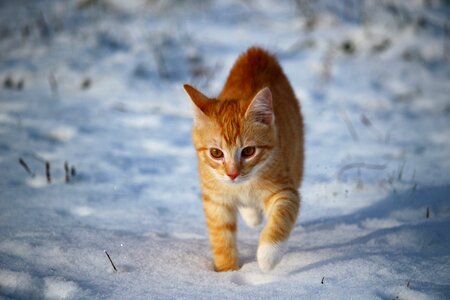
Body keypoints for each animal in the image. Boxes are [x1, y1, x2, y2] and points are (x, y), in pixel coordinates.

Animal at [184, 47, 306, 272]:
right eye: (216, 153)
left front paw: (267, 256)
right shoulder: (215, 200)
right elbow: (221, 237)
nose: (232, 174)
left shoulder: (285, 190)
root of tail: (256, 52)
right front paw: (227, 271)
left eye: (249, 151)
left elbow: (281, 217)